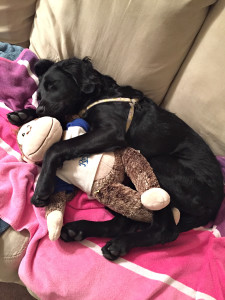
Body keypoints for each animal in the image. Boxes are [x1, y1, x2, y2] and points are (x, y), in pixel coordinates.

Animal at [7, 56, 224, 260]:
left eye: (53, 85)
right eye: (39, 94)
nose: (40, 109)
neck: (101, 94)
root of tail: (216, 204)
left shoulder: (110, 131)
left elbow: (56, 146)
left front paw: (42, 188)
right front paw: (23, 114)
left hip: (159, 166)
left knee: (165, 230)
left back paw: (119, 244)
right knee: (124, 222)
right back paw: (79, 230)